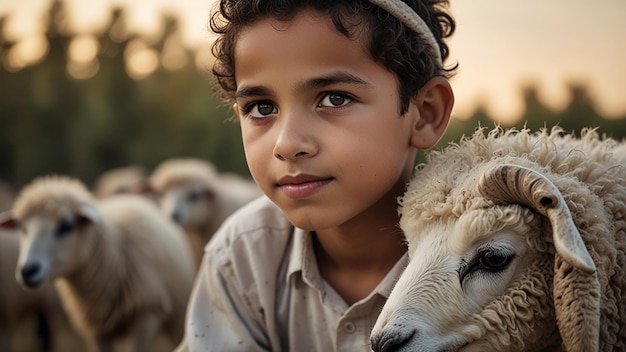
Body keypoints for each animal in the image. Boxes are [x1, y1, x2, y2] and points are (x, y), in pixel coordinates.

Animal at [0, 176, 195, 352]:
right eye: (22, 228)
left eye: (66, 226)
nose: (28, 271)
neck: (113, 257)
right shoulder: (95, 329)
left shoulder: (147, 316)